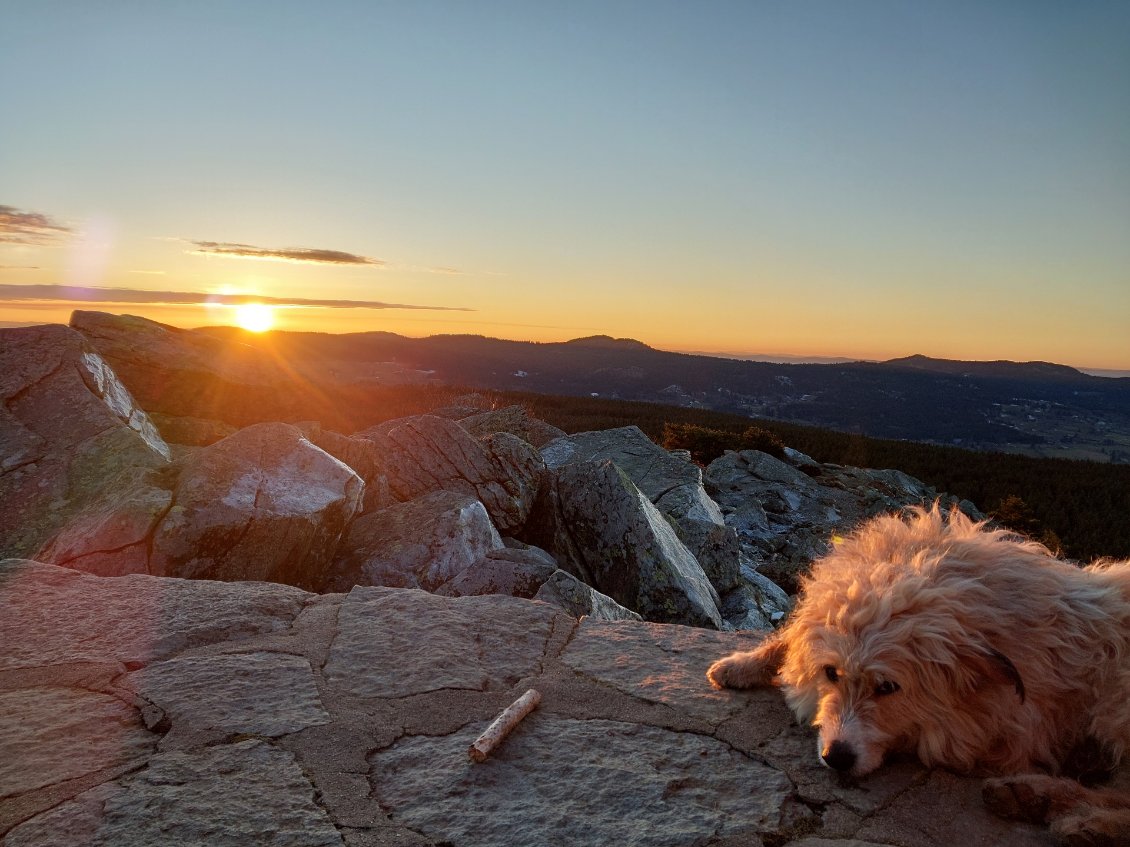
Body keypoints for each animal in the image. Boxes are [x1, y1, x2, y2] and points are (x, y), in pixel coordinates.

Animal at [709, 508, 1125, 844]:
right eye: (831, 673)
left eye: (888, 687)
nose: (836, 757)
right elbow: (792, 635)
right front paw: (743, 664)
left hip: (1116, 702)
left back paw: (1079, 819)